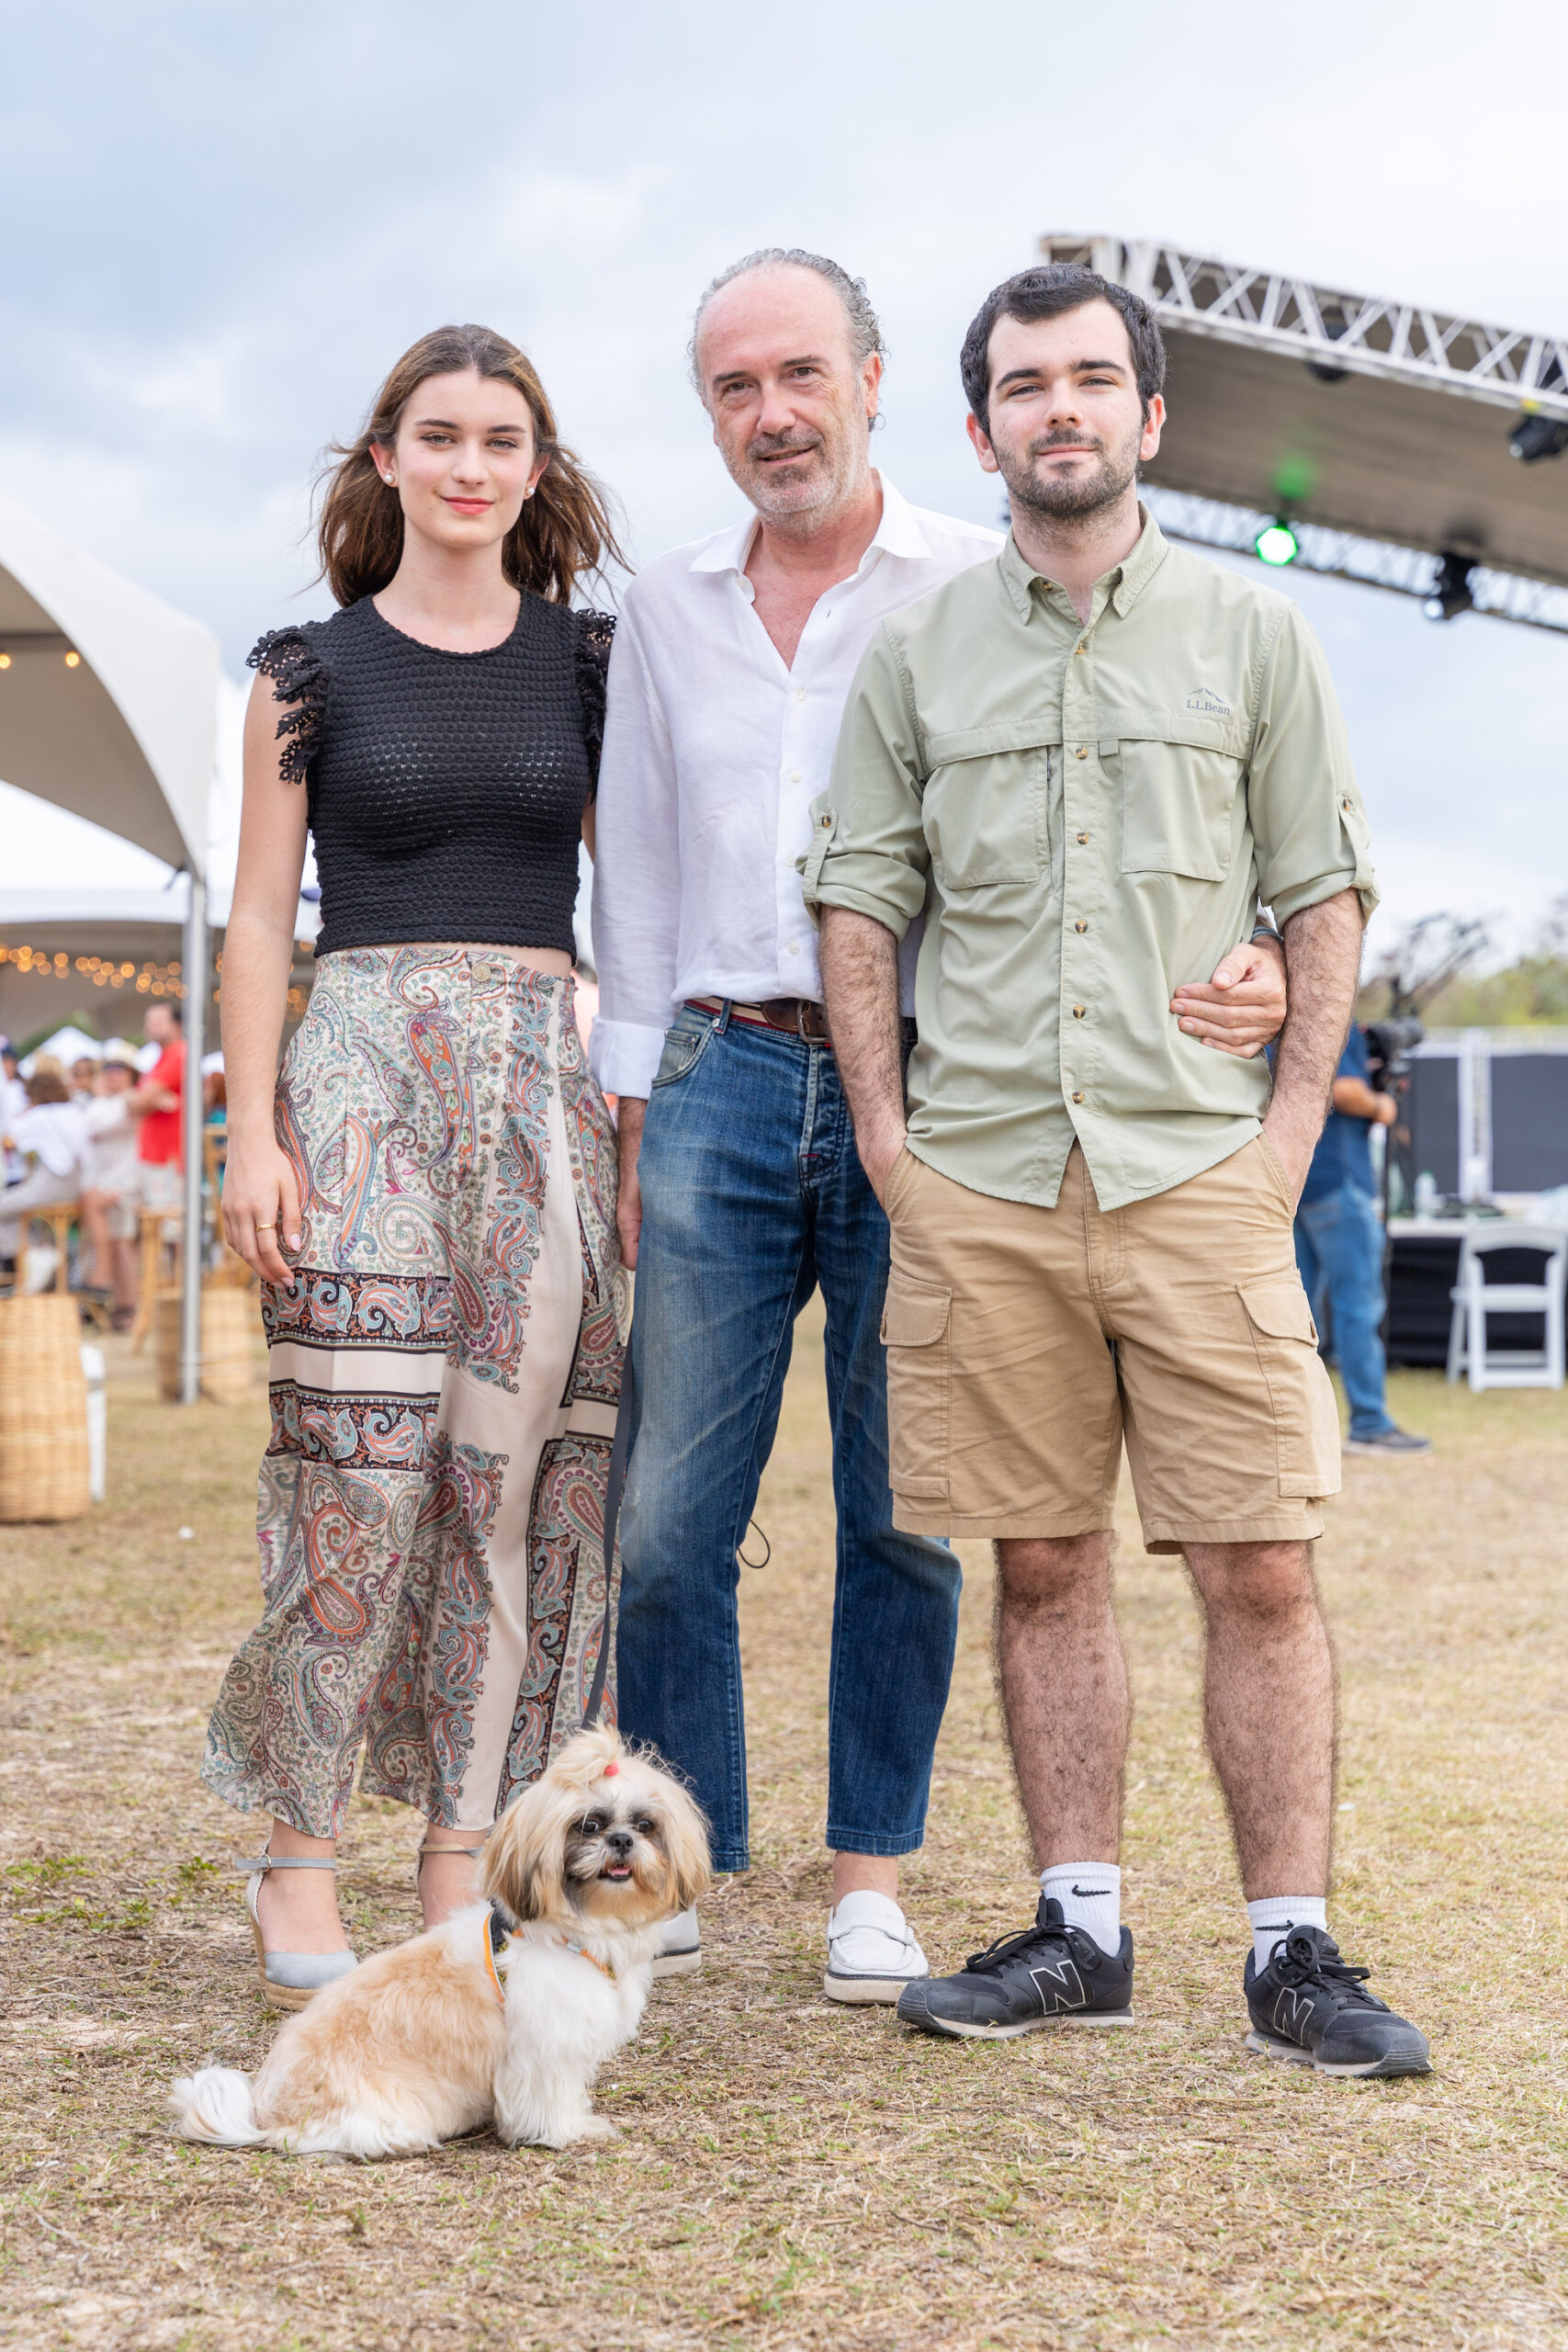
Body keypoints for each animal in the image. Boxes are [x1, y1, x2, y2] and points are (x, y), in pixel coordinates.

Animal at [170, 1725, 709, 2158]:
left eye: (645, 1825)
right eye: (589, 1825)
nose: (621, 1841)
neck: (572, 1931)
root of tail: (266, 2115)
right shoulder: (544, 2046)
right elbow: (548, 2099)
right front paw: (568, 2130)